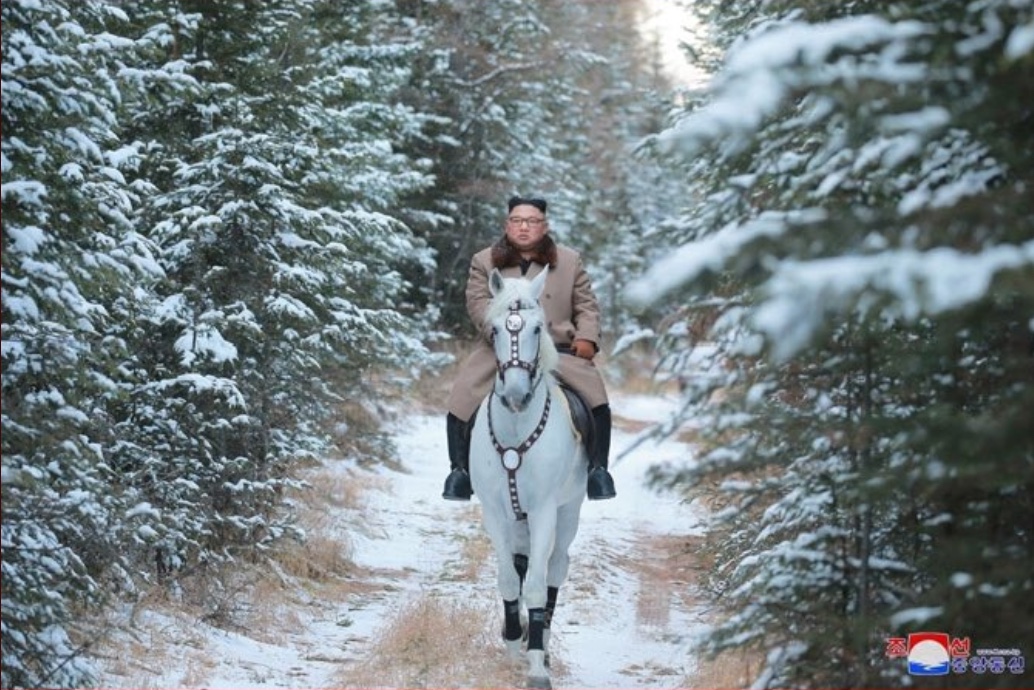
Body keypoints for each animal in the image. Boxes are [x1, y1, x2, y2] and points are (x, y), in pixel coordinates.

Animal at [471, 268, 591, 690]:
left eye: (538, 328)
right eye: (494, 330)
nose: (516, 395)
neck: (516, 427)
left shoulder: (543, 512)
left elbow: (538, 585)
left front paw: (537, 665)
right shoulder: (494, 511)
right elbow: (510, 579)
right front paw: (511, 645)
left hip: (568, 512)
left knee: (555, 569)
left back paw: (544, 642)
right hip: (515, 515)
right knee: (522, 564)